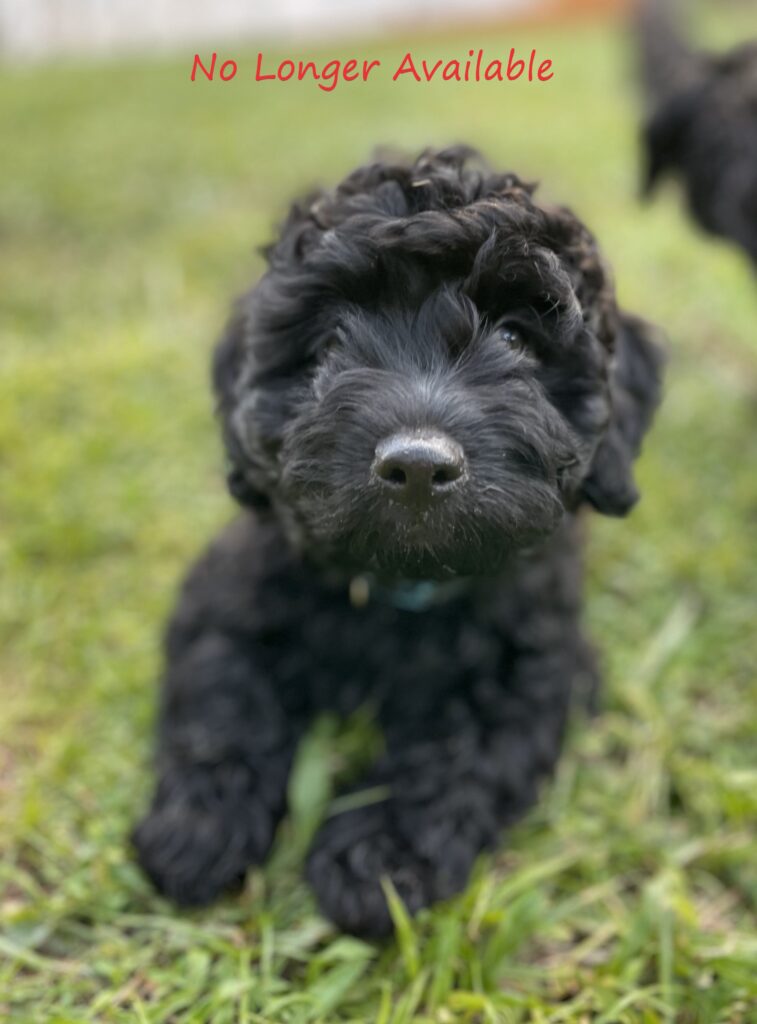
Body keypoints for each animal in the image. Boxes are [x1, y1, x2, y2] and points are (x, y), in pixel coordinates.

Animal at [135, 144, 663, 937]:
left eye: (515, 338)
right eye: (328, 344)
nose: (417, 465)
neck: (393, 589)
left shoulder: (536, 664)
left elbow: (461, 752)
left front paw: (377, 857)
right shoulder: (224, 602)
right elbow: (221, 697)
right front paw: (198, 825)